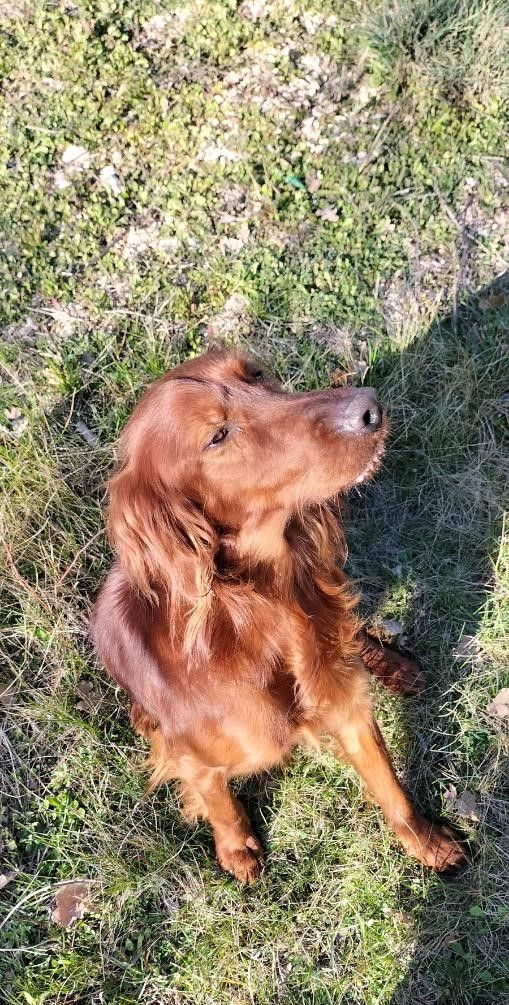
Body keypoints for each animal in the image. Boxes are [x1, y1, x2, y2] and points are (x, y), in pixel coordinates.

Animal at [91, 350, 465, 883]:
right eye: (218, 435)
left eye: (256, 374)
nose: (368, 408)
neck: (266, 611)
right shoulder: (193, 756)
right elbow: (216, 799)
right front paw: (236, 848)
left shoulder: (347, 705)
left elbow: (388, 780)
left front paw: (426, 841)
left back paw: (396, 665)